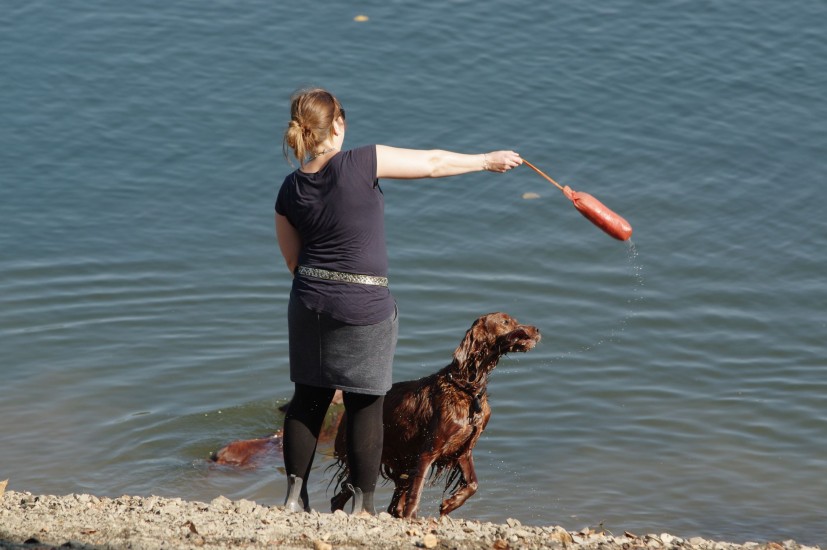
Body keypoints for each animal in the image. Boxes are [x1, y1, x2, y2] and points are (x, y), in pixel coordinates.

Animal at [330, 312, 540, 518]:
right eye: (505, 322)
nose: (537, 329)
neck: (467, 390)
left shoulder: (463, 450)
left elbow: (473, 483)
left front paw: (450, 504)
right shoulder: (427, 452)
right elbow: (416, 493)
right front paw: (414, 516)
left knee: (390, 505)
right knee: (340, 497)